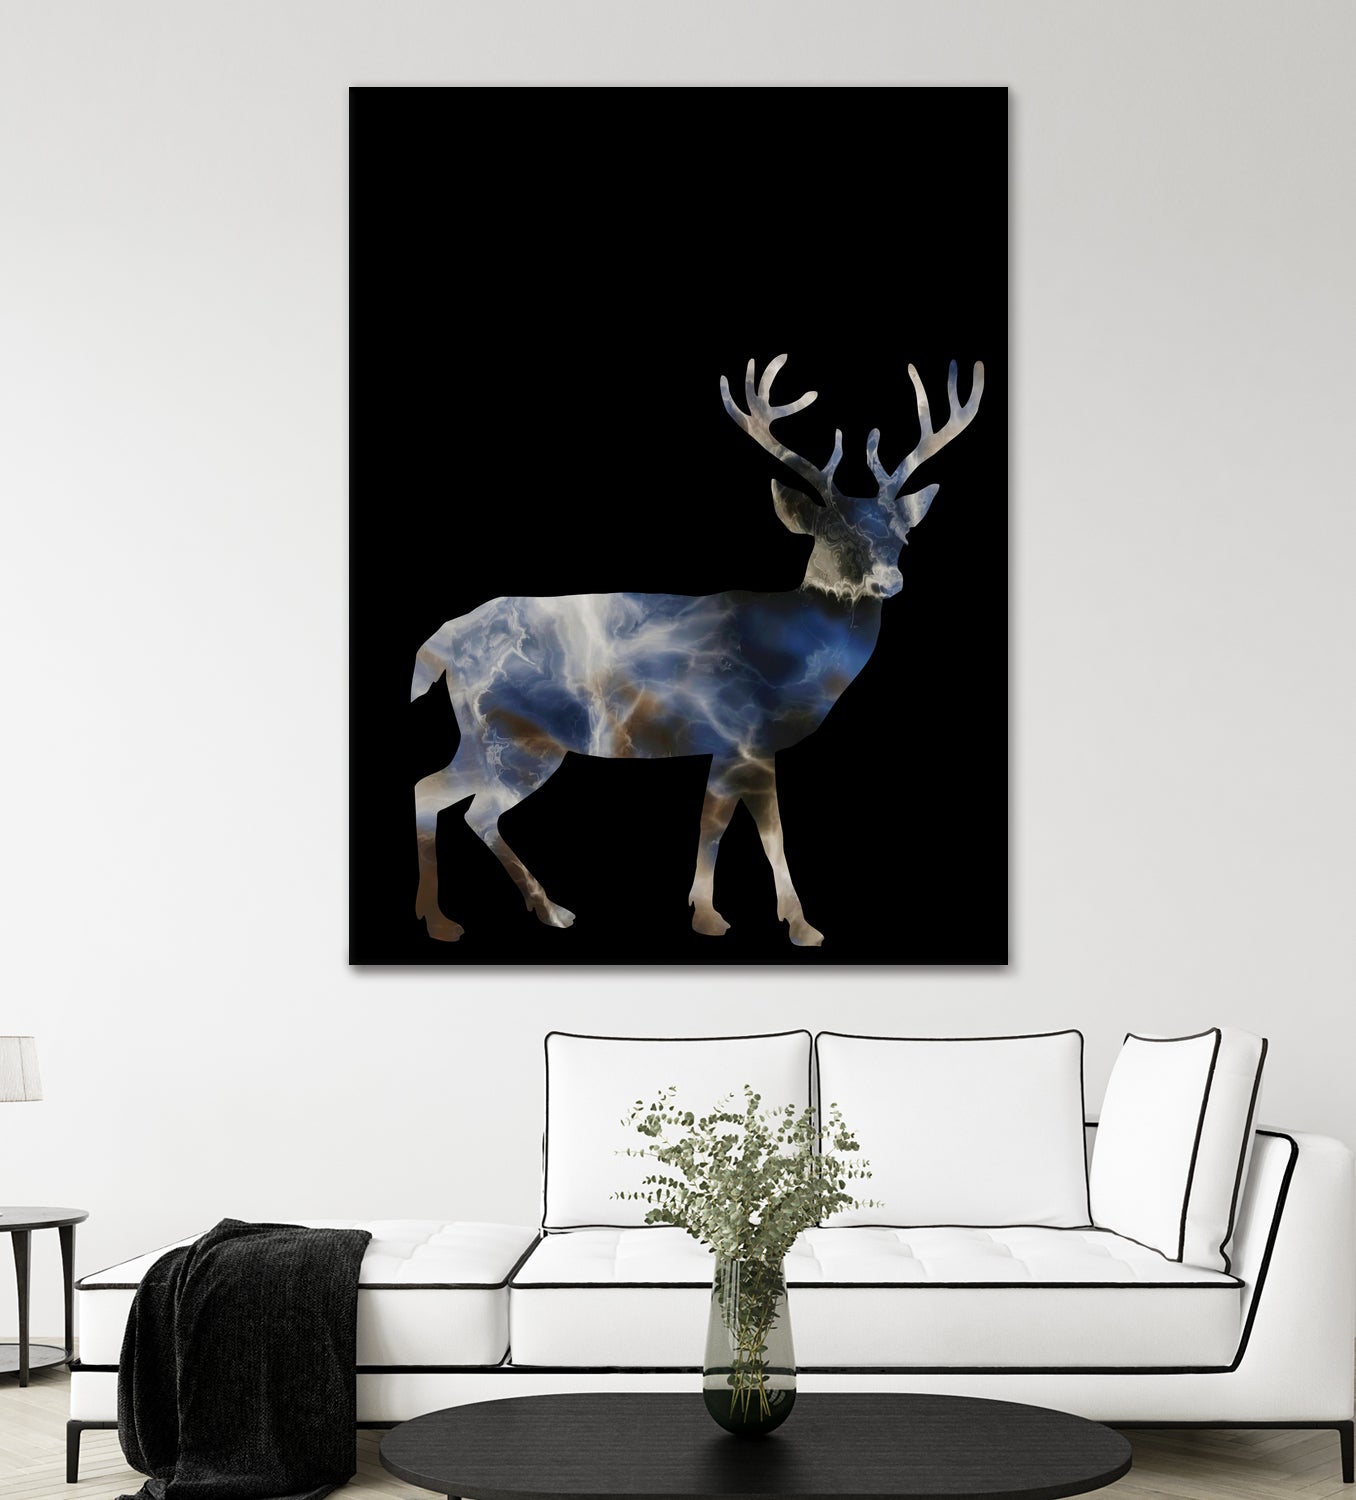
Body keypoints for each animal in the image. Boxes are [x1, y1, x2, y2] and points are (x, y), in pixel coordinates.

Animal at [410, 353, 984, 947]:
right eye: (834, 535)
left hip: (487, 736)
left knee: (442, 795)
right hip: (516, 736)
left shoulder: (730, 746)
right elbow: (755, 832)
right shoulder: (745, 735)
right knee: (459, 803)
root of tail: (444, 641)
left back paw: (520, 910)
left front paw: (718, 913)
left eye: (903, 538)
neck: (792, 652)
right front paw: (783, 923)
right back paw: (472, 917)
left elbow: (719, 824)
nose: (890, 581)